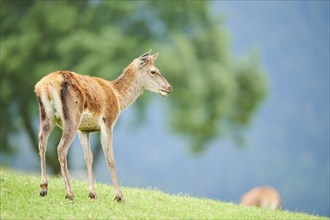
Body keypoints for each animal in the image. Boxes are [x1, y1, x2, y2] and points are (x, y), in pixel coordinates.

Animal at [34, 50, 173, 203]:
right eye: (154, 71)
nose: (169, 87)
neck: (118, 98)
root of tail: (45, 86)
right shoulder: (108, 121)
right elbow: (110, 157)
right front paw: (119, 196)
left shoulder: (83, 129)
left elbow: (88, 157)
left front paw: (92, 194)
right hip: (72, 116)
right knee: (61, 148)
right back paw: (69, 193)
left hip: (46, 116)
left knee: (42, 141)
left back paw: (43, 188)